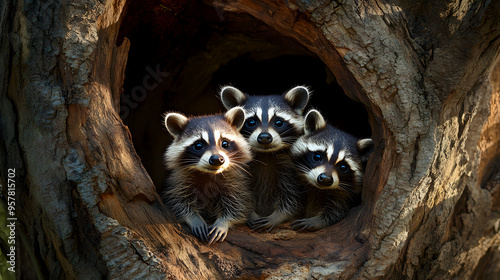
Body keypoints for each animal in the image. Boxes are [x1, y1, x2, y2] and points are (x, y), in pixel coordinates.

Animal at [162, 106, 252, 244]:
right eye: (198, 145)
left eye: (225, 143)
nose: (216, 159)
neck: (210, 174)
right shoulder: (180, 180)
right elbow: (177, 201)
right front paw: (194, 218)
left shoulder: (235, 181)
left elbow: (239, 204)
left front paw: (223, 222)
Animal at [219, 86, 308, 232]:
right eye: (251, 122)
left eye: (278, 122)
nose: (265, 137)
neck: (266, 154)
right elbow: (240, 192)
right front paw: (250, 213)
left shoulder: (290, 165)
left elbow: (292, 196)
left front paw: (278, 215)